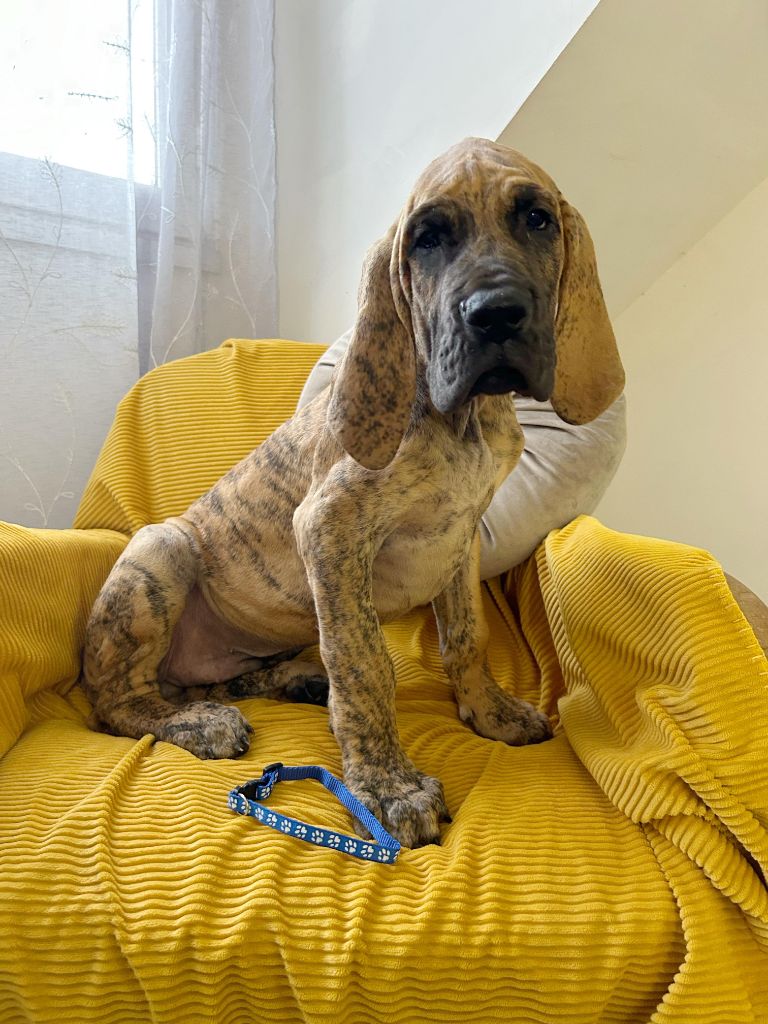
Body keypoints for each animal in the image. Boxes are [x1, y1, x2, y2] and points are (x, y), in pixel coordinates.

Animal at [82, 138, 624, 848]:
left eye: (537, 218)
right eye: (427, 238)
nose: (495, 314)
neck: (465, 420)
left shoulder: (461, 541)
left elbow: (467, 637)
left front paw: (488, 711)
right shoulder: (330, 525)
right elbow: (364, 663)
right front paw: (387, 786)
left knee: (234, 677)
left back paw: (289, 679)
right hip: (163, 550)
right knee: (117, 700)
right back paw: (196, 721)